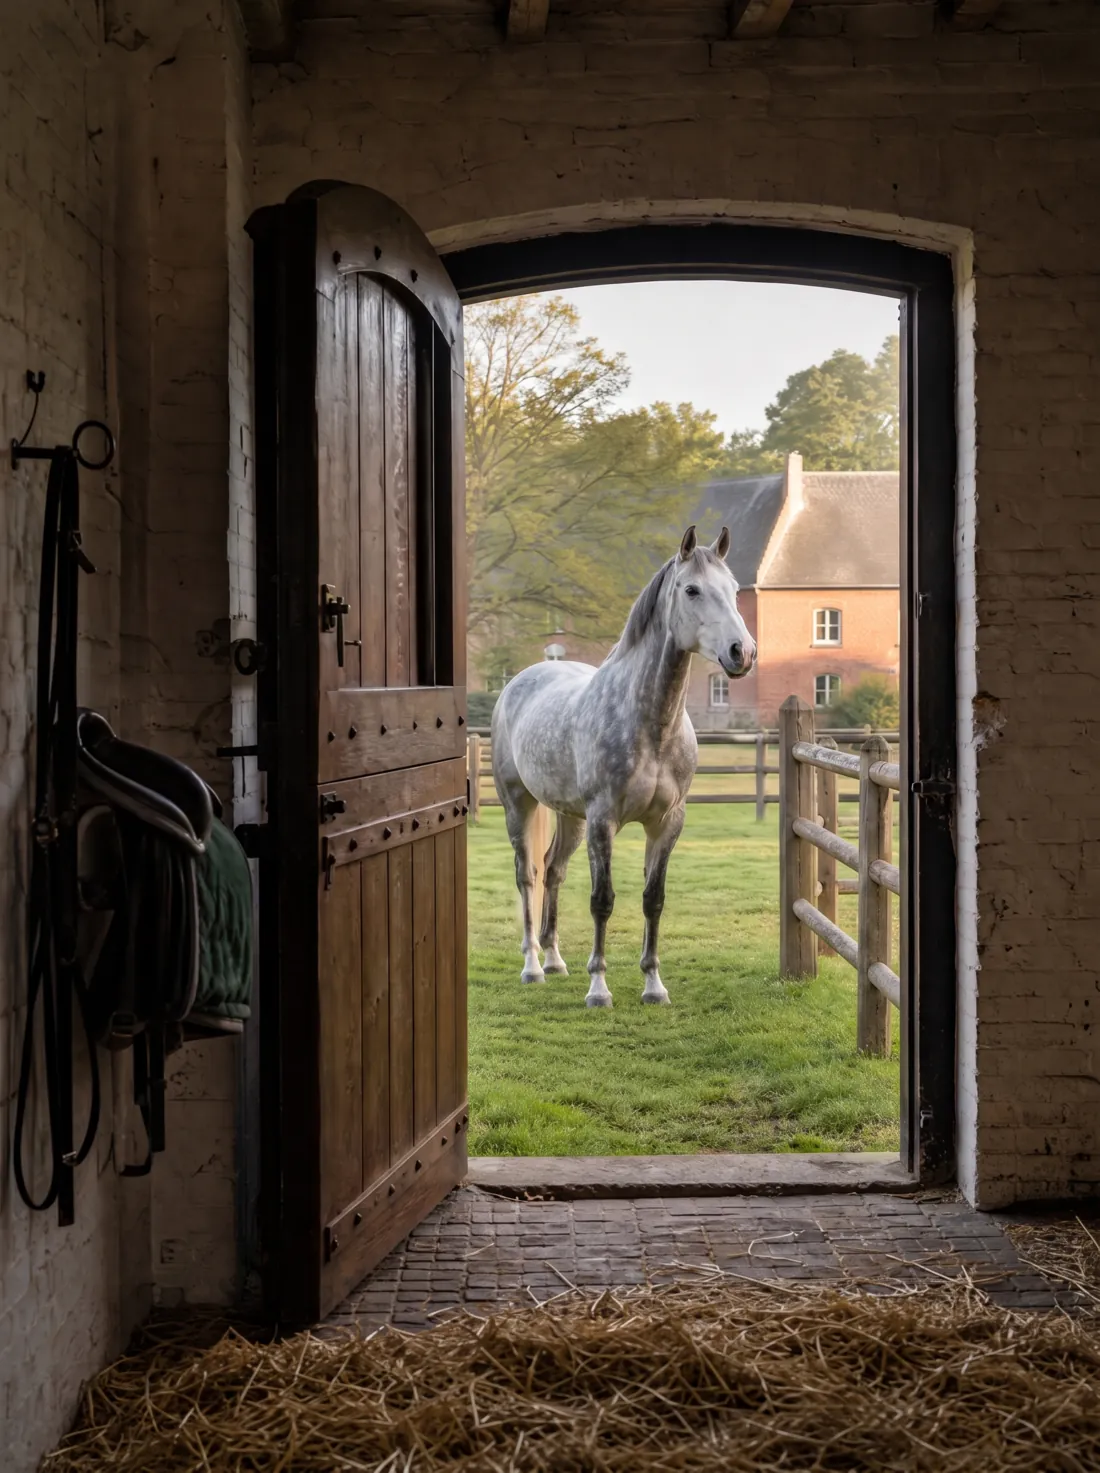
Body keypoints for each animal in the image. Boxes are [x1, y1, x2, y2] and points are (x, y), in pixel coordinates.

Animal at [491, 525, 757, 1008]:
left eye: (732, 590)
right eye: (691, 589)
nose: (741, 652)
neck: (650, 726)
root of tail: (520, 680)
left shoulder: (667, 822)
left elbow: (654, 899)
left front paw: (654, 985)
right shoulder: (603, 820)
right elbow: (603, 899)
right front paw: (598, 988)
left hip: (569, 816)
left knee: (553, 871)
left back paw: (555, 960)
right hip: (519, 805)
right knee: (529, 875)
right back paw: (533, 966)